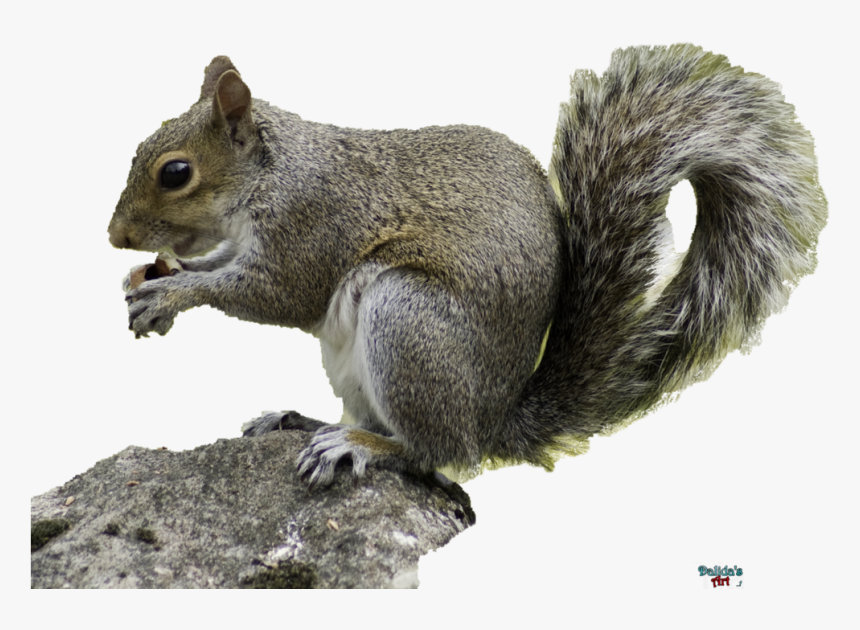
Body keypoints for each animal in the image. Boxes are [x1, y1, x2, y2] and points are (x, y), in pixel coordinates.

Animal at [109, 45, 826, 488]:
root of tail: (493, 419)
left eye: (175, 172)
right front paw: (154, 274)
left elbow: (275, 293)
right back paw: (305, 422)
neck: (271, 173)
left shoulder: (313, 224)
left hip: (409, 322)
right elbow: (225, 262)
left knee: (440, 454)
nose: (116, 236)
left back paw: (361, 446)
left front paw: (172, 293)